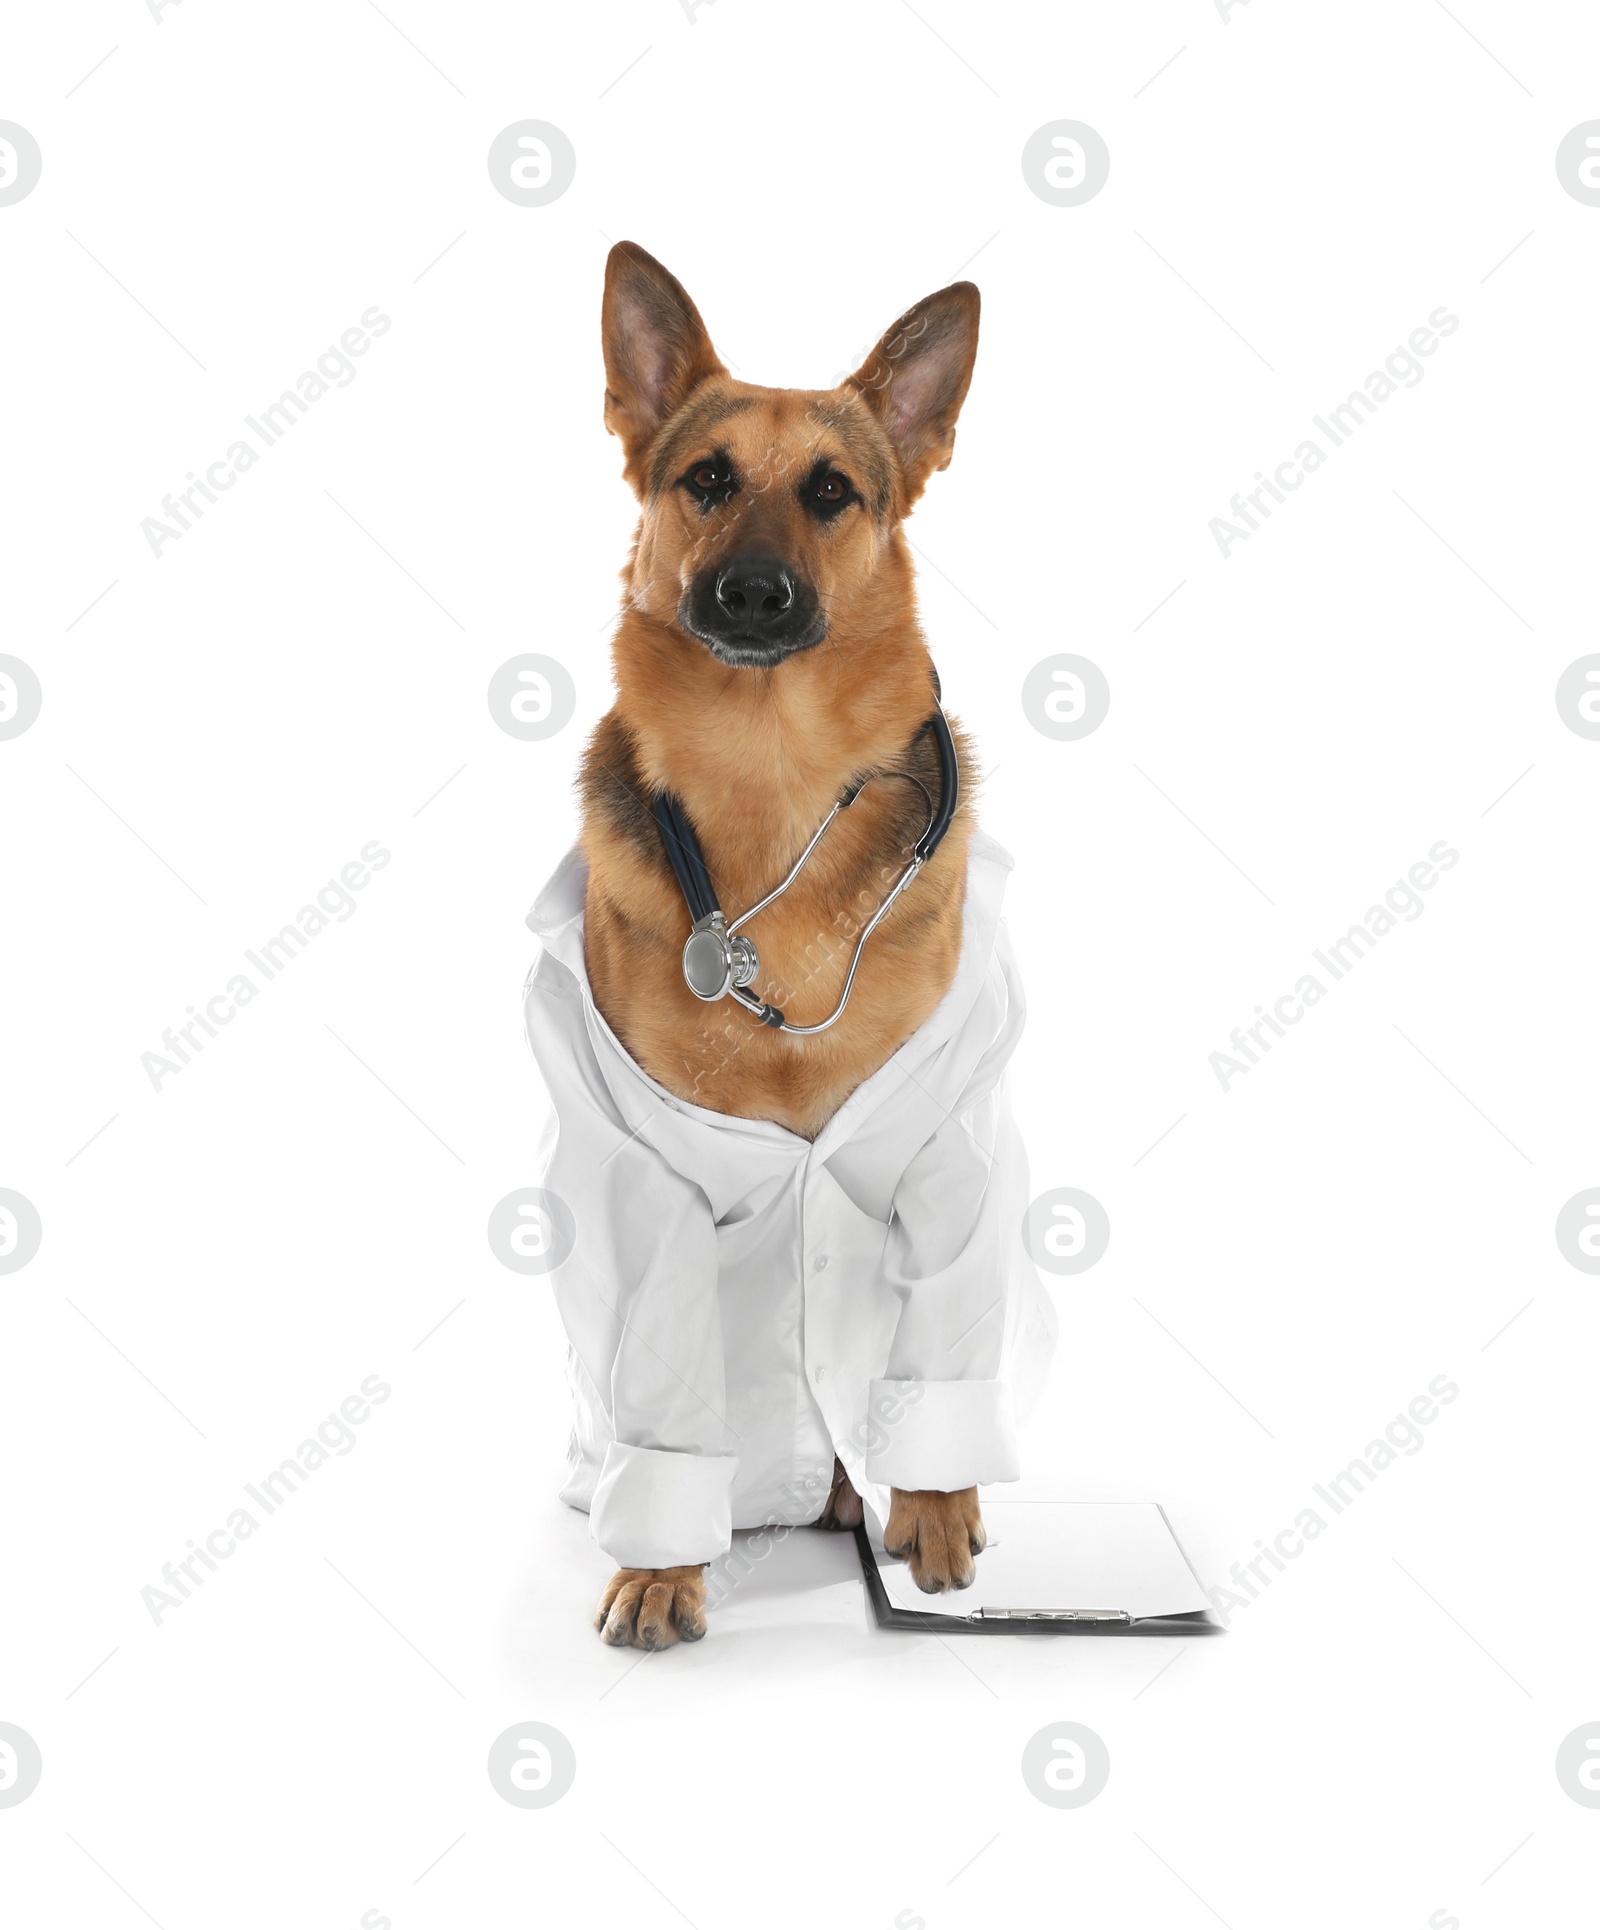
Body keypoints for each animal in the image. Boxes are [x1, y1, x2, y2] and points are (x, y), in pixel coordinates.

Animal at [517, 248, 1057, 1652]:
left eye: (830, 492)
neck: (771, 778)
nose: (753, 594)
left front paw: (932, 1509)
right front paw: (662, 1569)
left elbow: (938, 1345)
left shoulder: (949, 1146)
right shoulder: (645, 1175)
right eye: (706, 480)